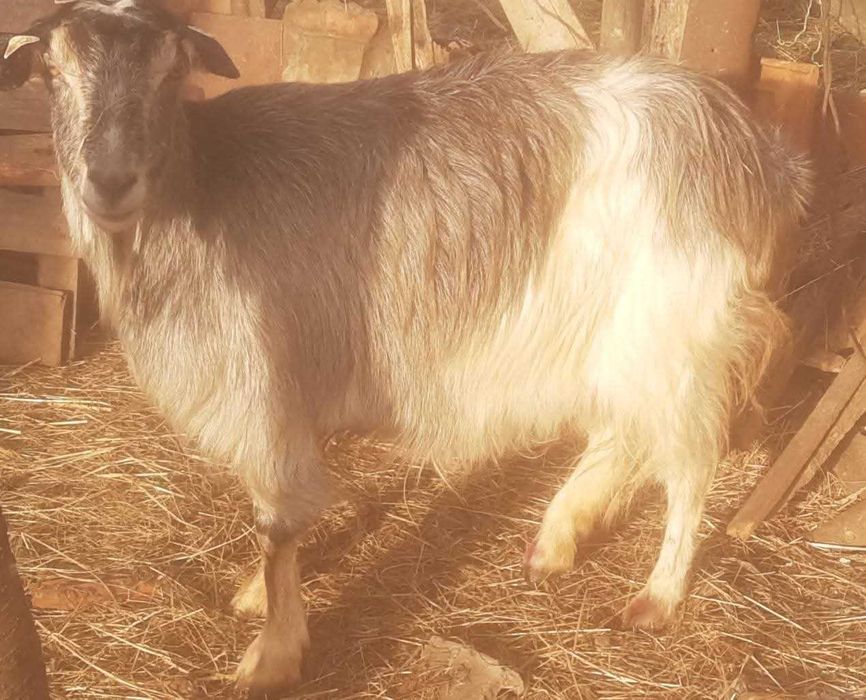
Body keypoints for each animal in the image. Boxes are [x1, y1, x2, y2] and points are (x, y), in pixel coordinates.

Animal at [2, 0, 811, 692]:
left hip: (675, 327)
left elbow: (277, 524)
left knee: (690, 465)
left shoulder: (262, 385)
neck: (199, 191)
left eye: (171, 73)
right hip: (621, 332)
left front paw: (272, 653)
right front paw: (257, 596)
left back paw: (657, 595)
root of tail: (753, 146)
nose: (110, 180)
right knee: (620, 436)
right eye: (52, 72)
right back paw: (555, 541)